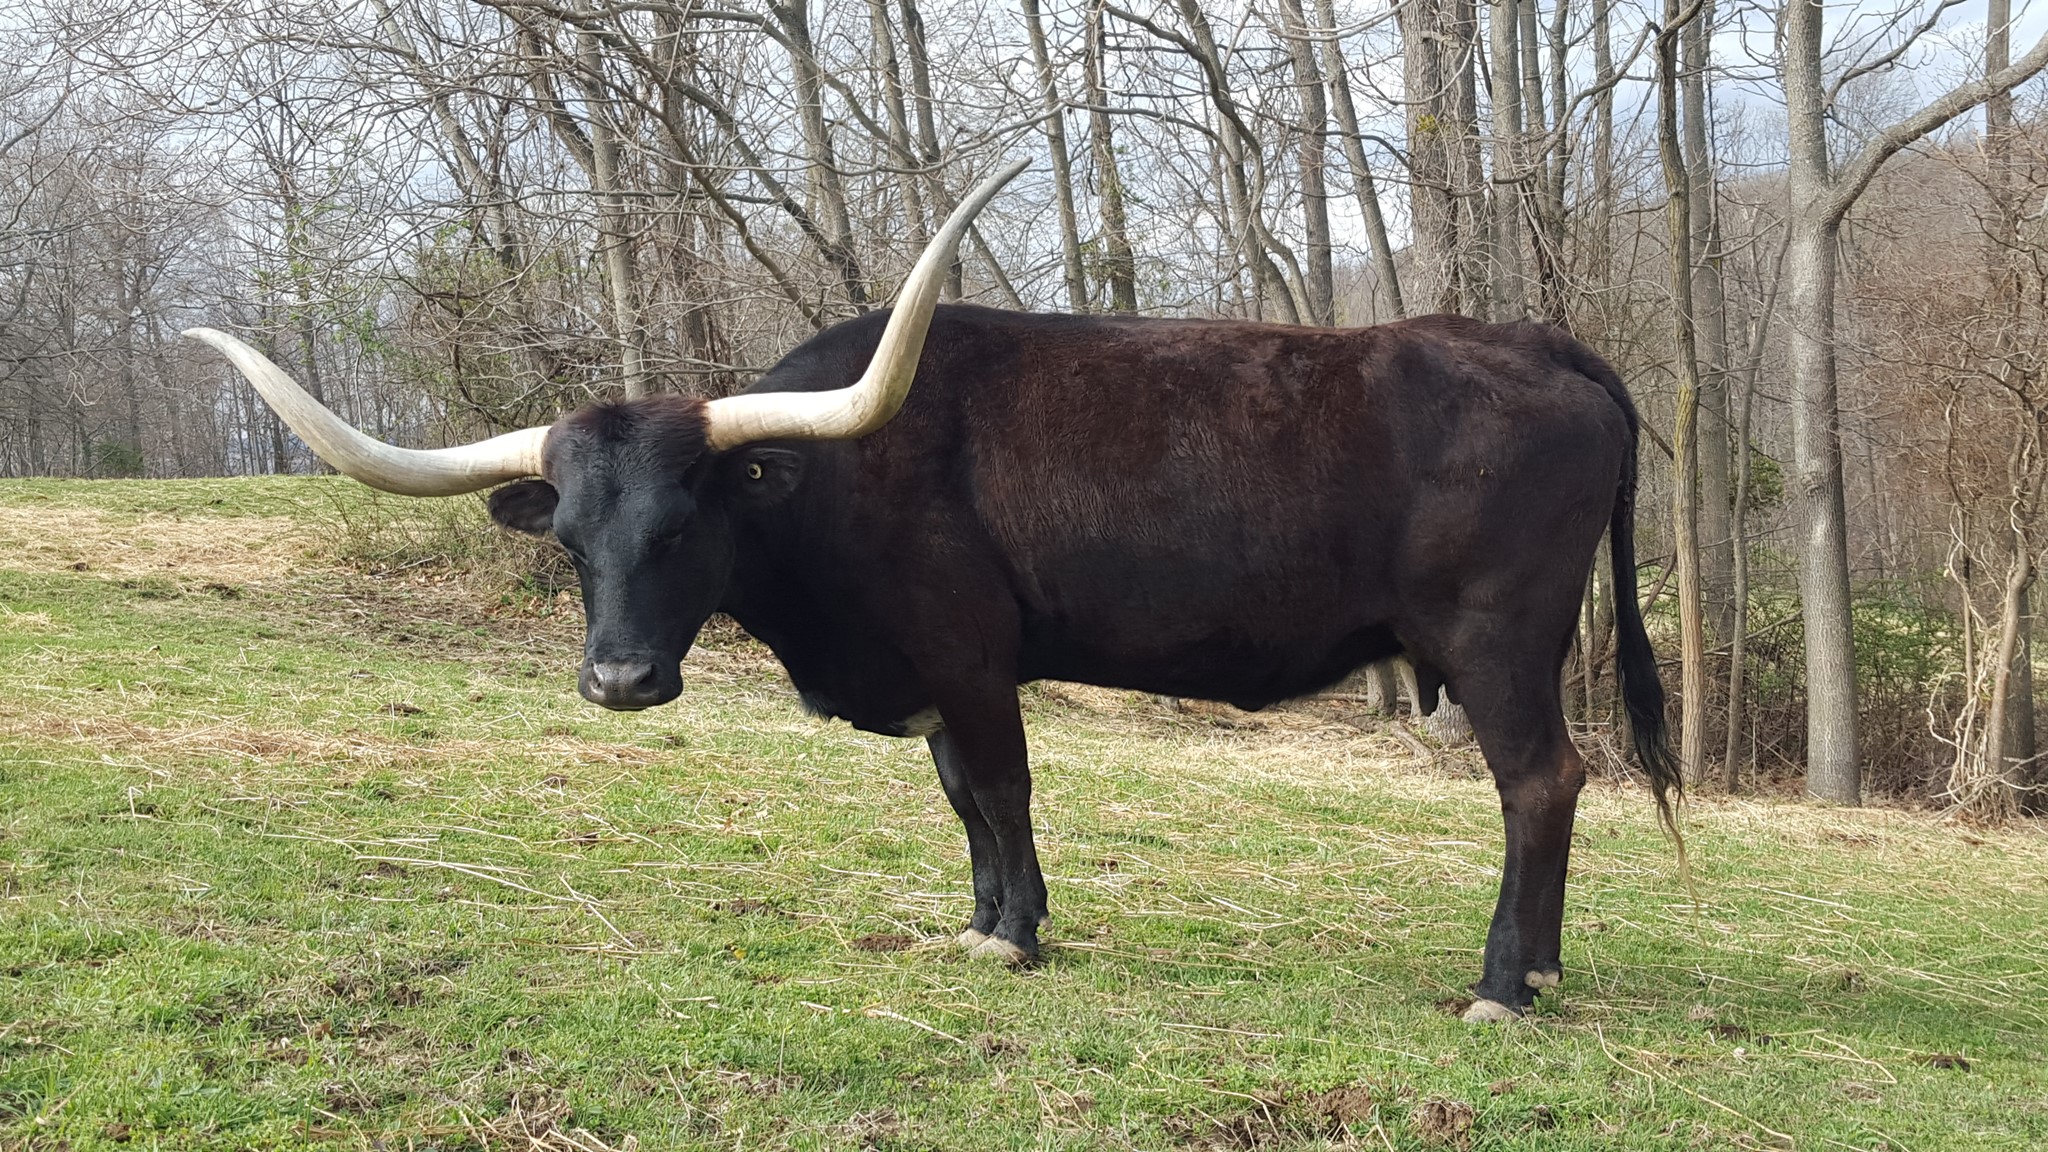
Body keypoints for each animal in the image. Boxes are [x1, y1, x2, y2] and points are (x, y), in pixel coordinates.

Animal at [187, 161, 1679, 1022]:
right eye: (570, 539)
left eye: (684, 523)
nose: (618, 680)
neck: (833, 482)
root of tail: (1529, 338)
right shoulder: (936, 683)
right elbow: (961, 800)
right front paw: (978, 919)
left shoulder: (970, 661)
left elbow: (1002, 790)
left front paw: (1013, 938)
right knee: (1555, 784)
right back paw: (1542, 966)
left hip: (1495, 640)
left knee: (1538, 781)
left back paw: (1500, 988)